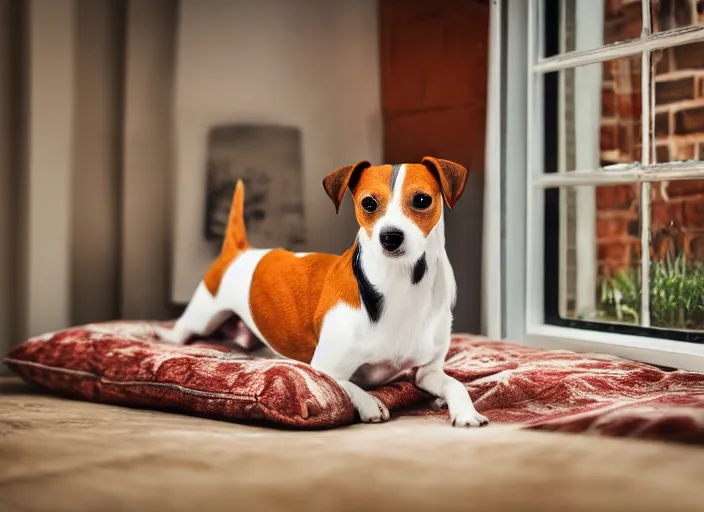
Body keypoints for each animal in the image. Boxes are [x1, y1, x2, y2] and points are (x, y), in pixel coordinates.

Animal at [158, 157, 490, 428]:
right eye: (369, 203)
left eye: (422, 200)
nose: (390, 237)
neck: (401, 285)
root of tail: (239, 250)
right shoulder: (324, 367)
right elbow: (345, 384)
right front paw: (370, 403)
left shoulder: (427, 373)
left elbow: (455, 384)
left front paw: (466, 412)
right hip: (202, 318)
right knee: (181, 331)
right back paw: (161, 333)